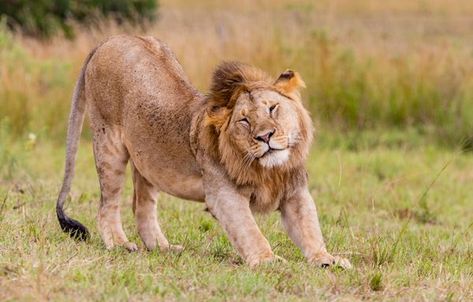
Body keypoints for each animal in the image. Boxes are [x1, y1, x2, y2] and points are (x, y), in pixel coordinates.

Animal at [55, 35, 350, 268]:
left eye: (272, 108)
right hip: (109, 143)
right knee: (107, 204)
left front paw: (327, 259)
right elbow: (250, 231)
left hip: (148, 158)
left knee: (141, 206)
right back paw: (119, 243)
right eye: (244, 120)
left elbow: (309, 229)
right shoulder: (223, 194)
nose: (265, 136)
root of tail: (108, 40)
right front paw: (268, 260)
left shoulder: (295, 192)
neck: (269, 170)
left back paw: (162, 248)